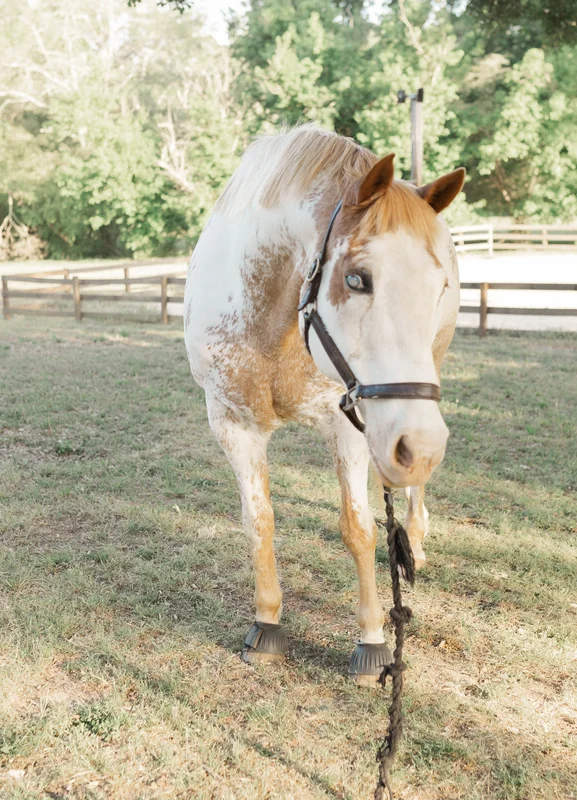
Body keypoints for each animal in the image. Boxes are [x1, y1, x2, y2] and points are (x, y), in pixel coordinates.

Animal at [184, 125, 465, 686]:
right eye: (355, 279)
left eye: (439, 285)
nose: (419, 447)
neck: (274, 317)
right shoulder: (232, 425)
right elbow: (260, 520)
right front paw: (266, 625)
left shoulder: (348, 426)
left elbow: (358, 529)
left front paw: (372, 643)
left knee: (411, 489)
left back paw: (414, 537)